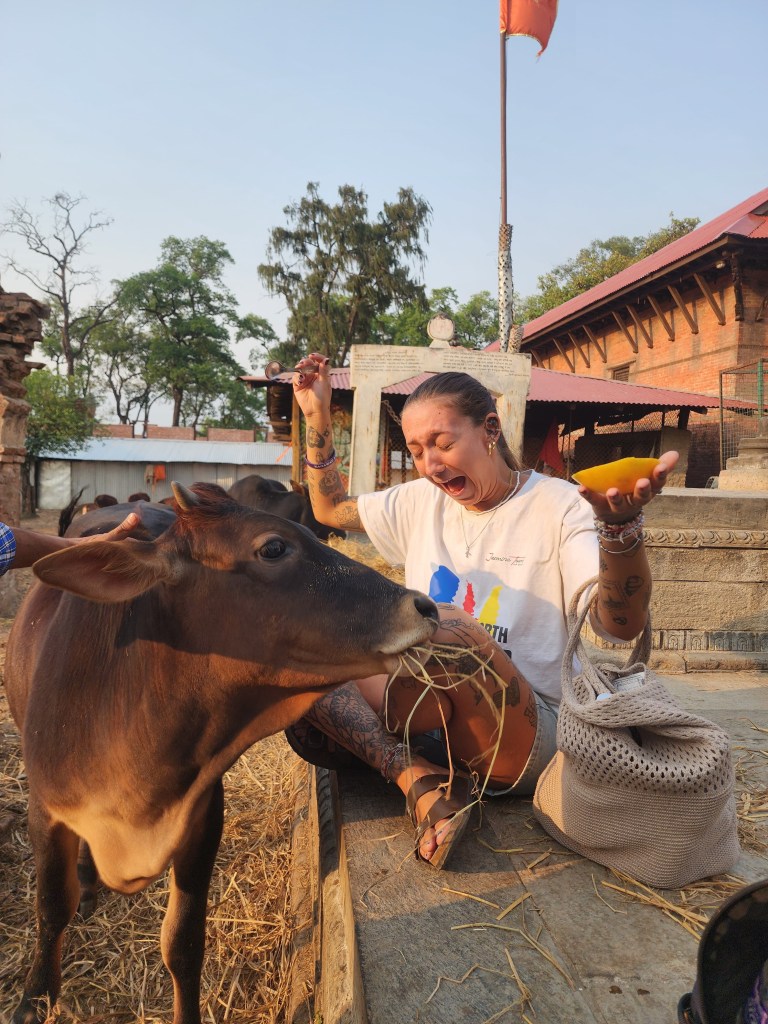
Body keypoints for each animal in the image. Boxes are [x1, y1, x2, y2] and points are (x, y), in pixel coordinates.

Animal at [5, 481, 438, 1024]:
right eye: (273, 547)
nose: (426, 607)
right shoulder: (47, 810)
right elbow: (51, 908)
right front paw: (34, 999)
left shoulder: (203, 815)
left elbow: (184, 944)